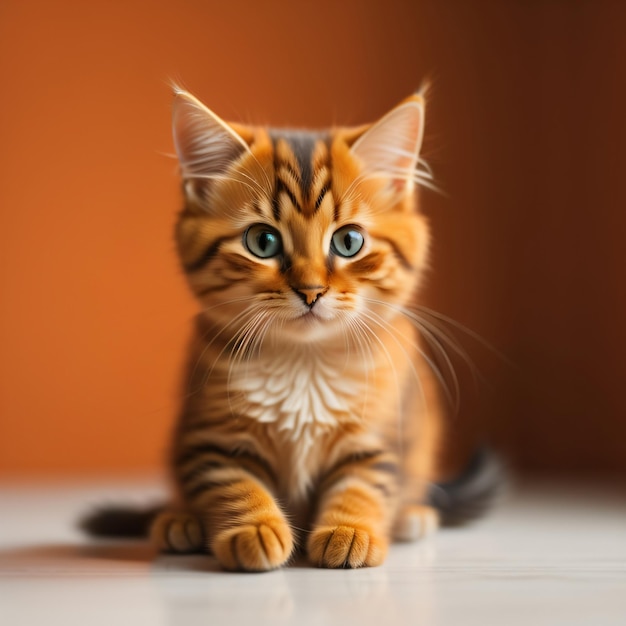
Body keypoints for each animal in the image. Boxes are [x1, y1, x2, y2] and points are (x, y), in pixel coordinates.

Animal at [83, 88, 502, 572]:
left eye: (348, 242)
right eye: (262, 241)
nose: (311, 290)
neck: (305, 362)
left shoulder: (381, 437)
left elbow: (363, 484)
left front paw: (350, 529)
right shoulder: (211, 439)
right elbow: (232, 483)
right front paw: (254, 528)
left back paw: (414, 516)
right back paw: (178, 521)